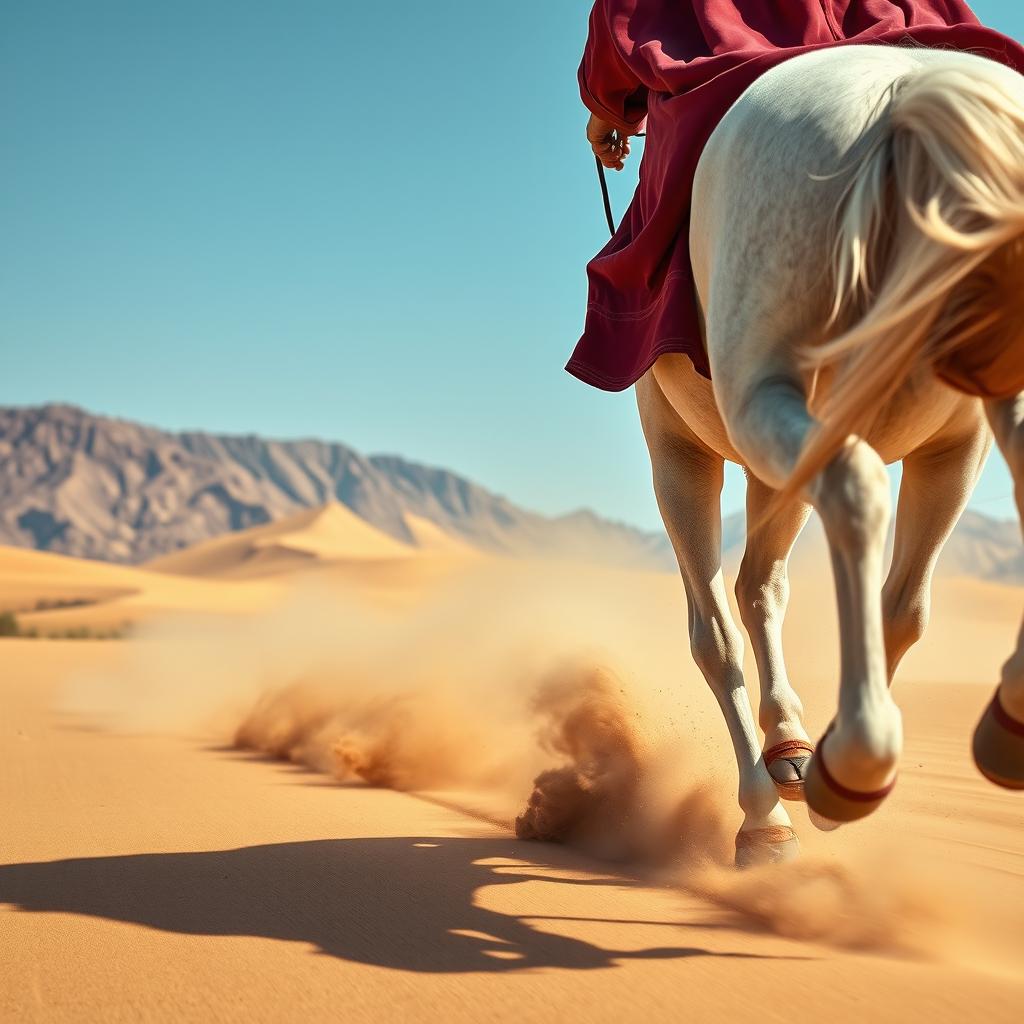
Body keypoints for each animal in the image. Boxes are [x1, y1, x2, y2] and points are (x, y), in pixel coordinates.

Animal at [638, 46, 1024, 864]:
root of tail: (904, 97)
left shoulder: (678, 445)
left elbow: (726, 626)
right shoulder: (955, 439)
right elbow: (884, 605)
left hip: (762, 417)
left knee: (788, 559)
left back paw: (807, 779)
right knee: (777, 582)